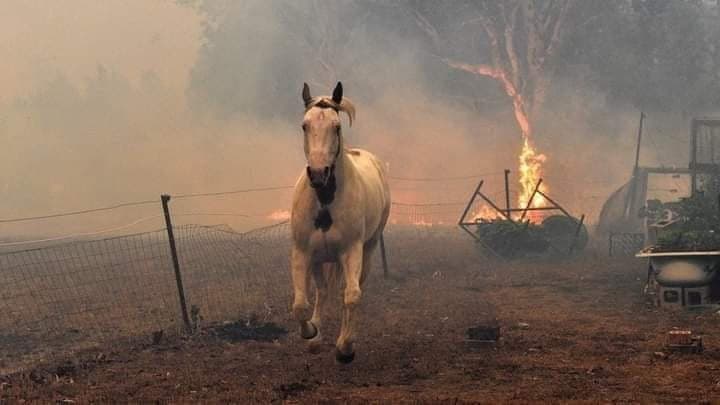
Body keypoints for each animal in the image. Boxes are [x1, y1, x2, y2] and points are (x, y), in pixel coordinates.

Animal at [290, 80, 390, 362]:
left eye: (336, 126)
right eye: (305, 125)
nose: (318, 173)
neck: (325, 201)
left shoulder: (351, 251)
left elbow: (352, 297)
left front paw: (345, 348)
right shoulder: (303, 252)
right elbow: (300, 304)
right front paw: (312, 333)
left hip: (367, 250)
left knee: (350, 291)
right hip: (320, 258)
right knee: (323, 291)